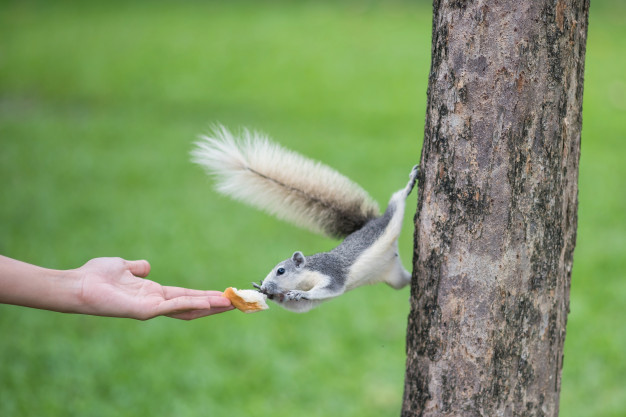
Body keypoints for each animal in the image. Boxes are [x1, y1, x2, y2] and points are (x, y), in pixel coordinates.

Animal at [190, 125, 414, 310]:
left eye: (281, 271)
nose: (266, 287)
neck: (307, 275)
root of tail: (368, 223)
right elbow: (300, 306)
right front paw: (269, 293)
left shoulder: (330, 274)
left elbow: (328, 289)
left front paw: (298, 292)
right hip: (393, 275)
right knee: (404, 281)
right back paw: (413, 279)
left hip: (391, 221)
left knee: (397, 200)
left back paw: (411, 182)